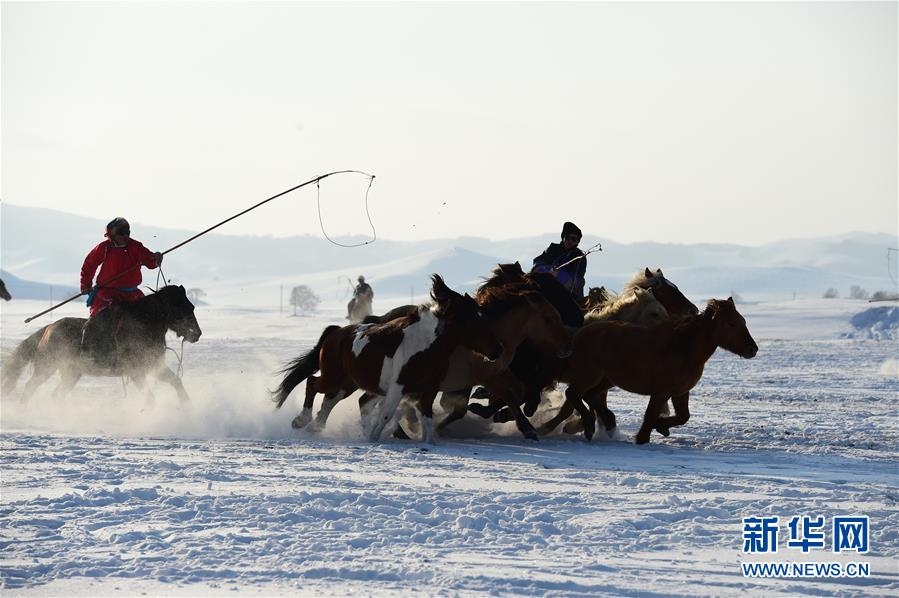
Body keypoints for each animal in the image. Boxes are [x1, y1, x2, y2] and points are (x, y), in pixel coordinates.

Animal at [1, 286, 202, 404]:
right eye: (181, 307)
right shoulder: (136, 372)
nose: (197, 333)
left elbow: (176, 382)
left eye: (191, 306)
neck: (144, 325)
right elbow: (149, 398)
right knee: (30, 387)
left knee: (57, 394)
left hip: (71, 373)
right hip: (46, 367)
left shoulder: (154, 366)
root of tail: (48, 329)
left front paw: (186, 407)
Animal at [270, 276, 502, 440]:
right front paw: (373, 437)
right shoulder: (398, 388)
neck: (425, 346)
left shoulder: (428, 390)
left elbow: (426, 421)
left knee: (331, 399)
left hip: (349, 383)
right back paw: (302, 421)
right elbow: (386, 414)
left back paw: (316, 426)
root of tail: (335, 332)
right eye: (474, 320)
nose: (497, 350)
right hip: (333, 376)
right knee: (313, 384)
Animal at [548, 298, 760, 442]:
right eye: (731, 323)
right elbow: (650, 416)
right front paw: (644, 435)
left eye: (743, 321)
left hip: (605, 379)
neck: (683, 348)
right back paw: (585, 426)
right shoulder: (660, 393)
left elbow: (683, 417)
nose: (753, 349)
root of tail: (578, 336)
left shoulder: (680, 392)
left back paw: (604, 422)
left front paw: (660, 427)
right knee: (573, 394)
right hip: (590, 375)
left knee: (588, 396)